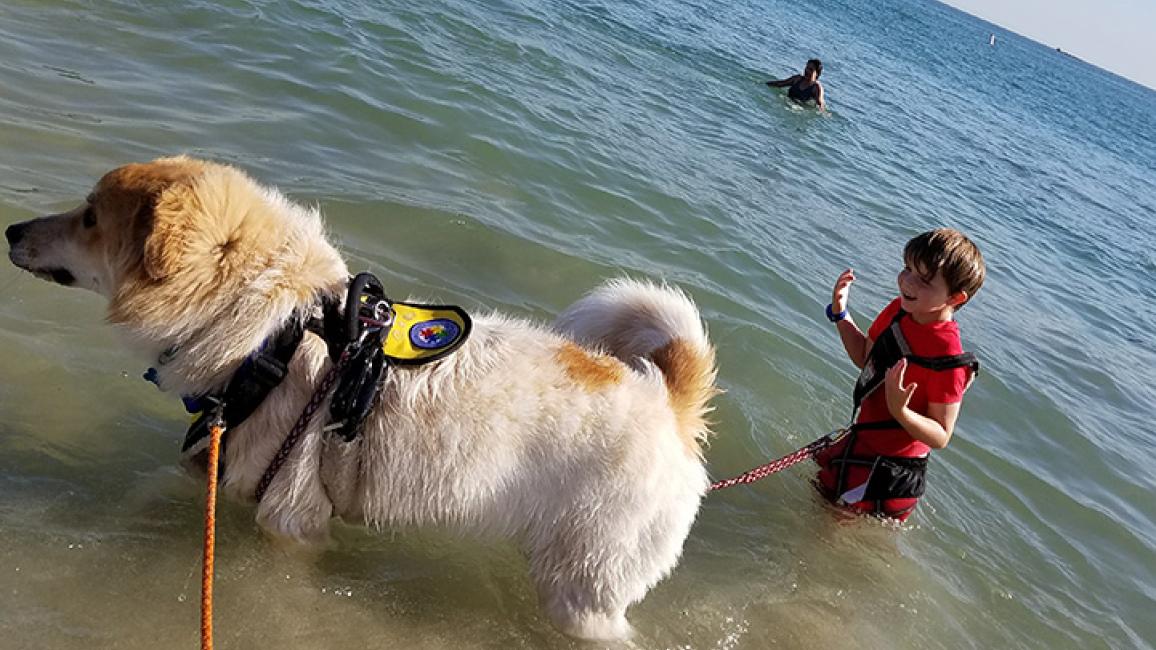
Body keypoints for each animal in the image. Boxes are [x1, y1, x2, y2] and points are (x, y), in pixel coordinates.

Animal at [4, 157, 716, 638]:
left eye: (90, 216)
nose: (11, 229)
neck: (274, 331)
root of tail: (671, 405)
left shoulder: (291, 519)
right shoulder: (213, 460)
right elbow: (147, 489)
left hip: (585, 589)